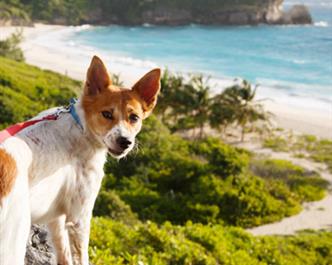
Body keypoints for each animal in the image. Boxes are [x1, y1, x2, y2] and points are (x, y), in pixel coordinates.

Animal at [0, 54, 161, 262]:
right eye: (107, 114)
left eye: (134, 118)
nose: (125, 141)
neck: (82, 127)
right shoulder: (79, 218)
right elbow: (81, 257)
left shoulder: (57, 218)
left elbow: (64, 254)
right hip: (14, 238)